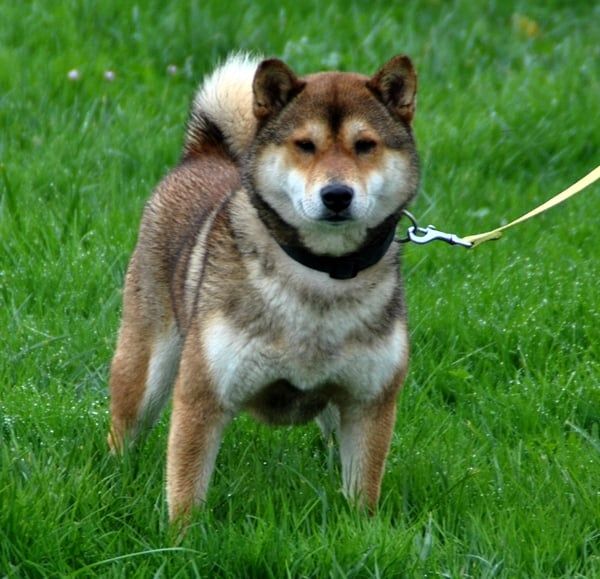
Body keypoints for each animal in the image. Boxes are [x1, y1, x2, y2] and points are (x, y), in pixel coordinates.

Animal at [106, 52, 418, 520]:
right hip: (145, 369)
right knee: (123, 432)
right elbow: (185, 496)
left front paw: (360, 530)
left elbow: (362, 497)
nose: (337, 195)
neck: (321, 276)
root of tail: (205, 154)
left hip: (333, 411)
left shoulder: (370, 402)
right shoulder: (203, 396)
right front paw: (181, 537)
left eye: (366, 145)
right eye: (304, 145)